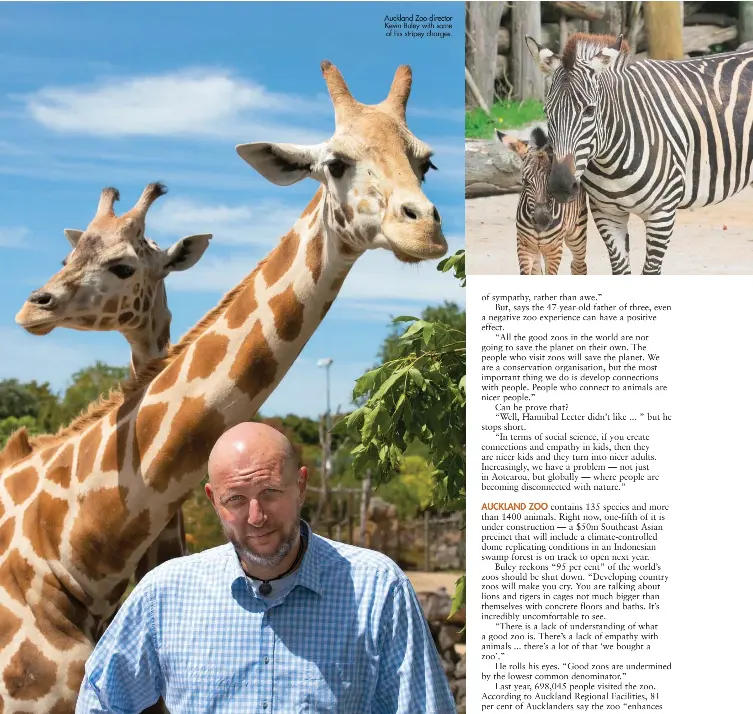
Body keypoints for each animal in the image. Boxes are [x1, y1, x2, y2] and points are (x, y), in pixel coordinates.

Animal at [496, 126, 592, 274]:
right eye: (525, 182)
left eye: (552, 184)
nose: (542, 221)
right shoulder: (524, 246)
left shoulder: (554, 249)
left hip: (577, 234)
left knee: (578, 265)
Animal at [524, 32, 753, 274]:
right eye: (547, 112)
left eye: (590, 110)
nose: (561, 185)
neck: (609, 164)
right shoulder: (606, 214)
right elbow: (620, 269)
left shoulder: (662, 214)